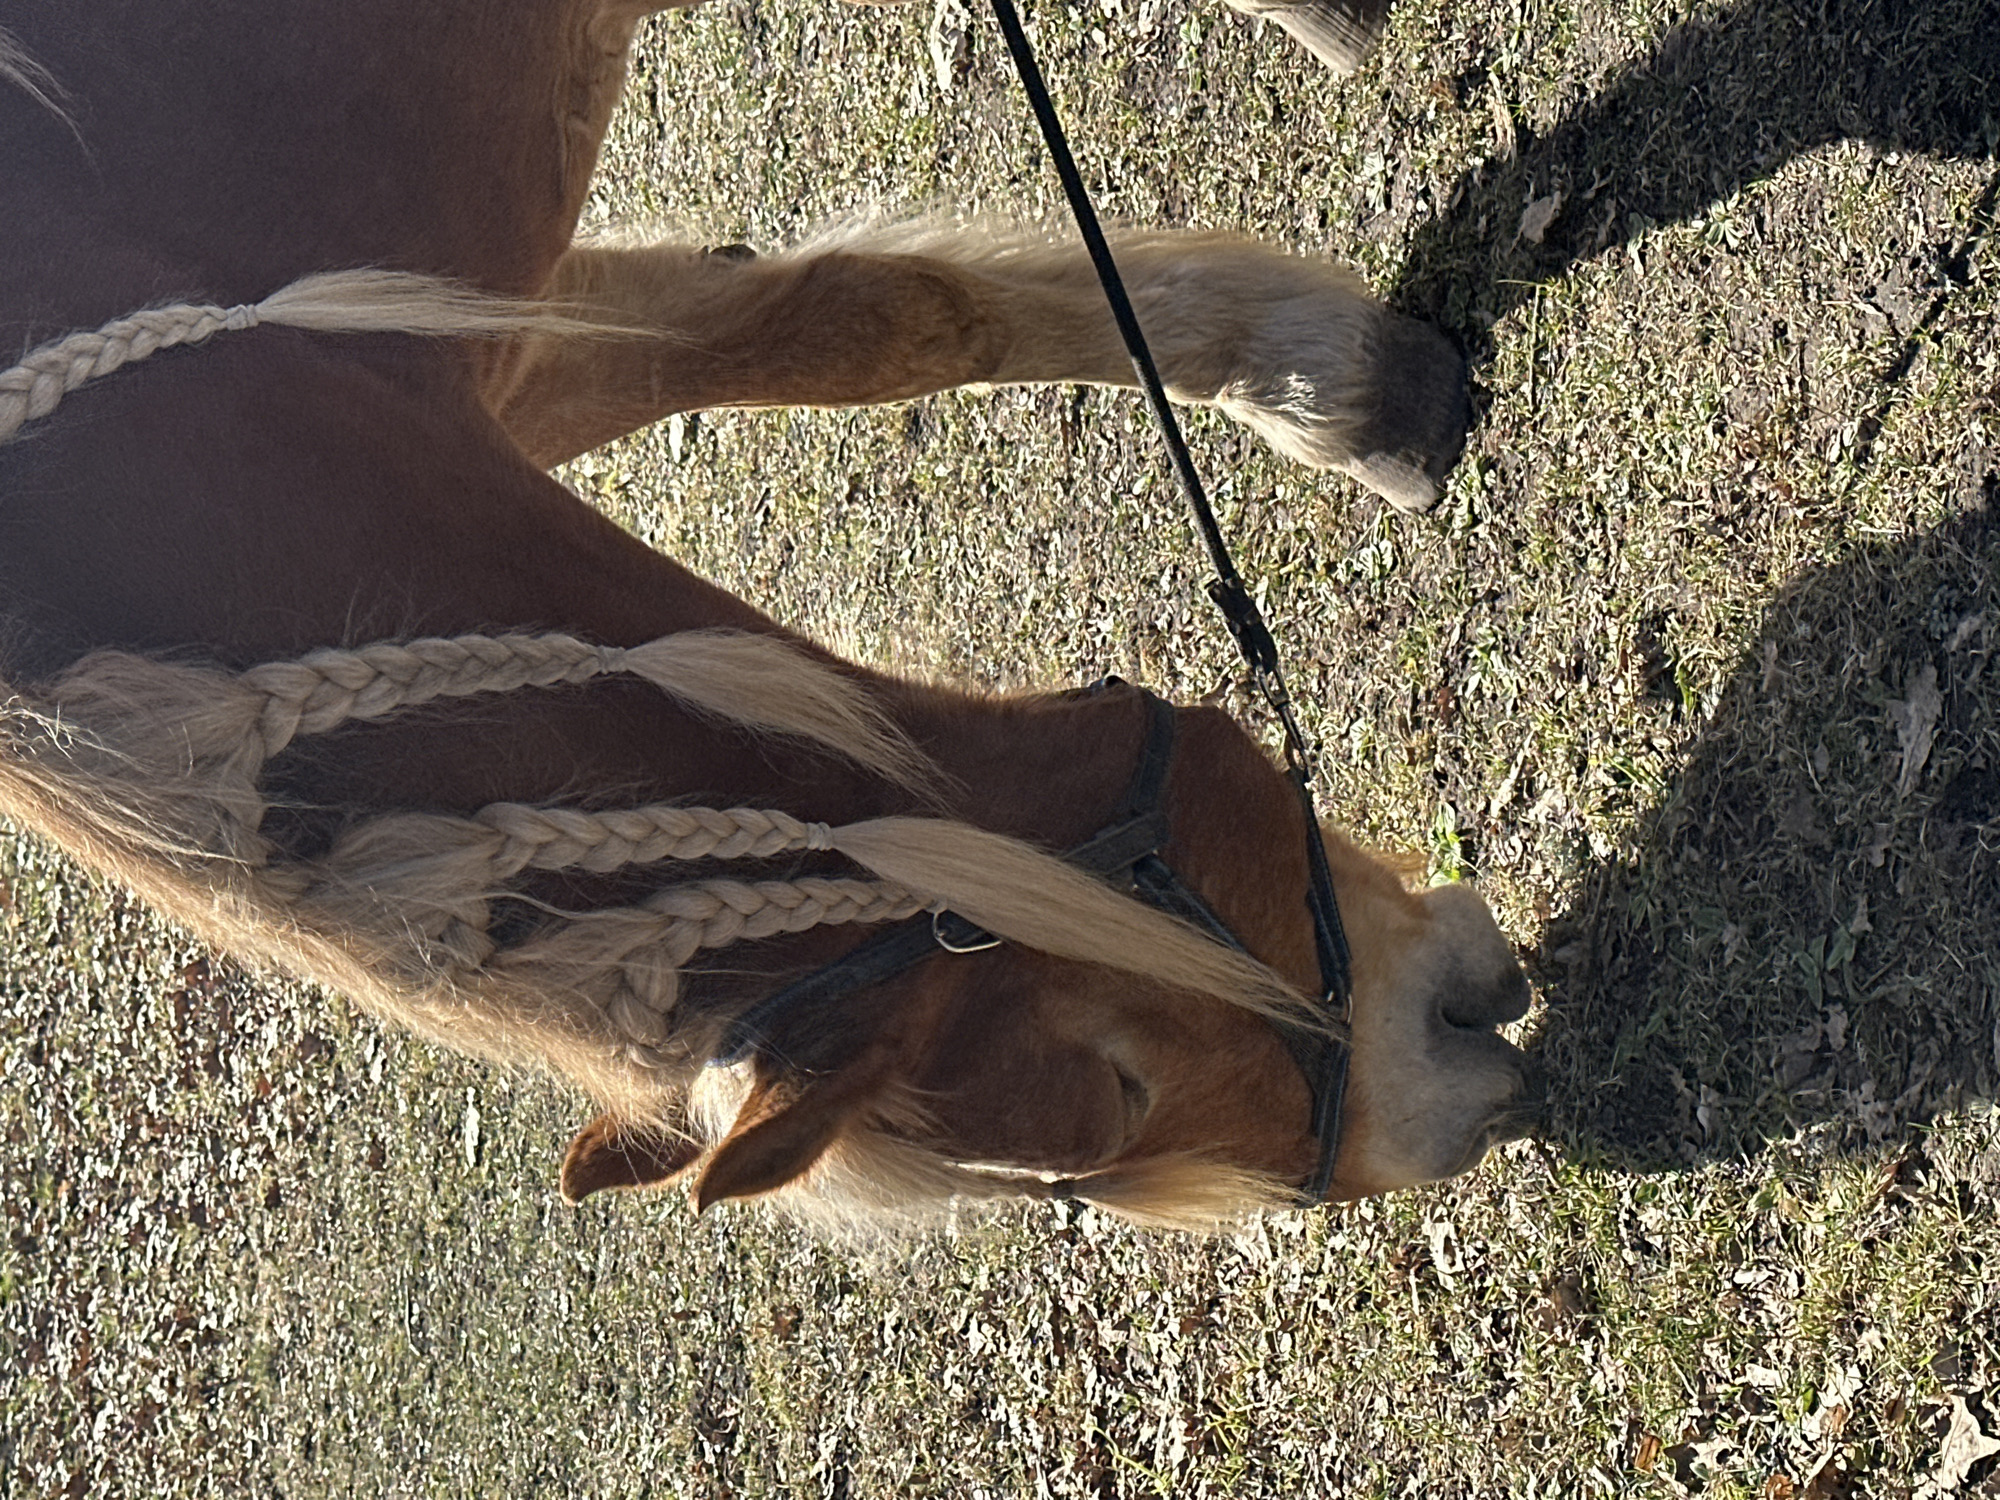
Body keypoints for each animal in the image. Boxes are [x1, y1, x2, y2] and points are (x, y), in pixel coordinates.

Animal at [0, 0, 1529, 1230]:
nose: (1456, 1099)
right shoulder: (476, 347)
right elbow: (780, 322)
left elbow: (867, 320)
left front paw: (1334, 386)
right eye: (1106, 1116)